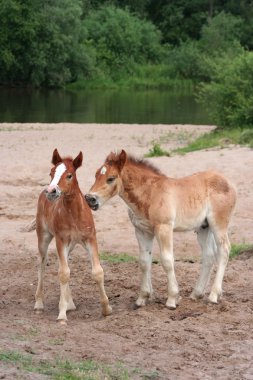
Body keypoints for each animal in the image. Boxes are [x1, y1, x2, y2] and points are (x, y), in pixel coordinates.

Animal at [34, 150, 111, 322]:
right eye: (51, 173)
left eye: (69, 175)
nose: (51, 191)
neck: (74, 214)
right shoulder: (61, 240)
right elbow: (63, 273)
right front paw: (61, 315)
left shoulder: (90, 239)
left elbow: (97, 272)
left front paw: (106, 309)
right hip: (44, 237)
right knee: (43, 264)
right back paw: (39, 304)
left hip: (71, 245)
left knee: (64, 265)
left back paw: (70, 303)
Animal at [85, 150, 237, 310]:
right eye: (96, 175)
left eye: (110, 178)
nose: (90, 198)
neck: (150, 194)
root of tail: (228, 182)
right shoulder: (142, 231)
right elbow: (144, 262)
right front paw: (142, 298)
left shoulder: (164, 228)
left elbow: (167, 260)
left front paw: (172, 299)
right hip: (203, 227)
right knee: (208, 255)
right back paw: (196, 294)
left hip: (218, 224)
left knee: (224, 250)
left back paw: (214, 295)